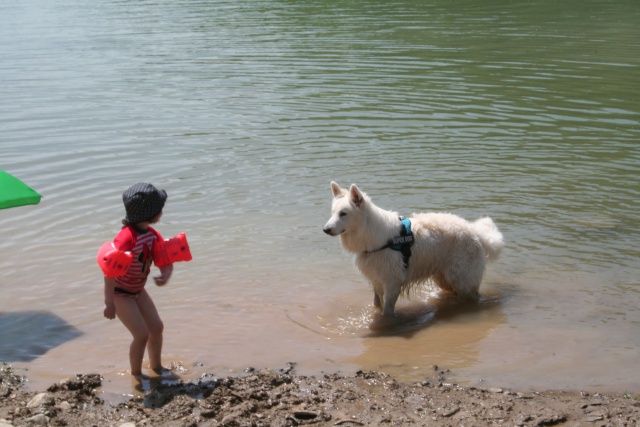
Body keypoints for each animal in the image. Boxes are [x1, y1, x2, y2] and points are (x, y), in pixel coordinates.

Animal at [324, 181, 504, 318]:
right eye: (333, 212)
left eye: (343, 213)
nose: (325, 229)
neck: (372, 235)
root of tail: (475, 232)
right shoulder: (377, 280)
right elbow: (377, 303)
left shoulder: (392, 283)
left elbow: (387, 311)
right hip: (445, 279)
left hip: (463, 281)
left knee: (473, 297)